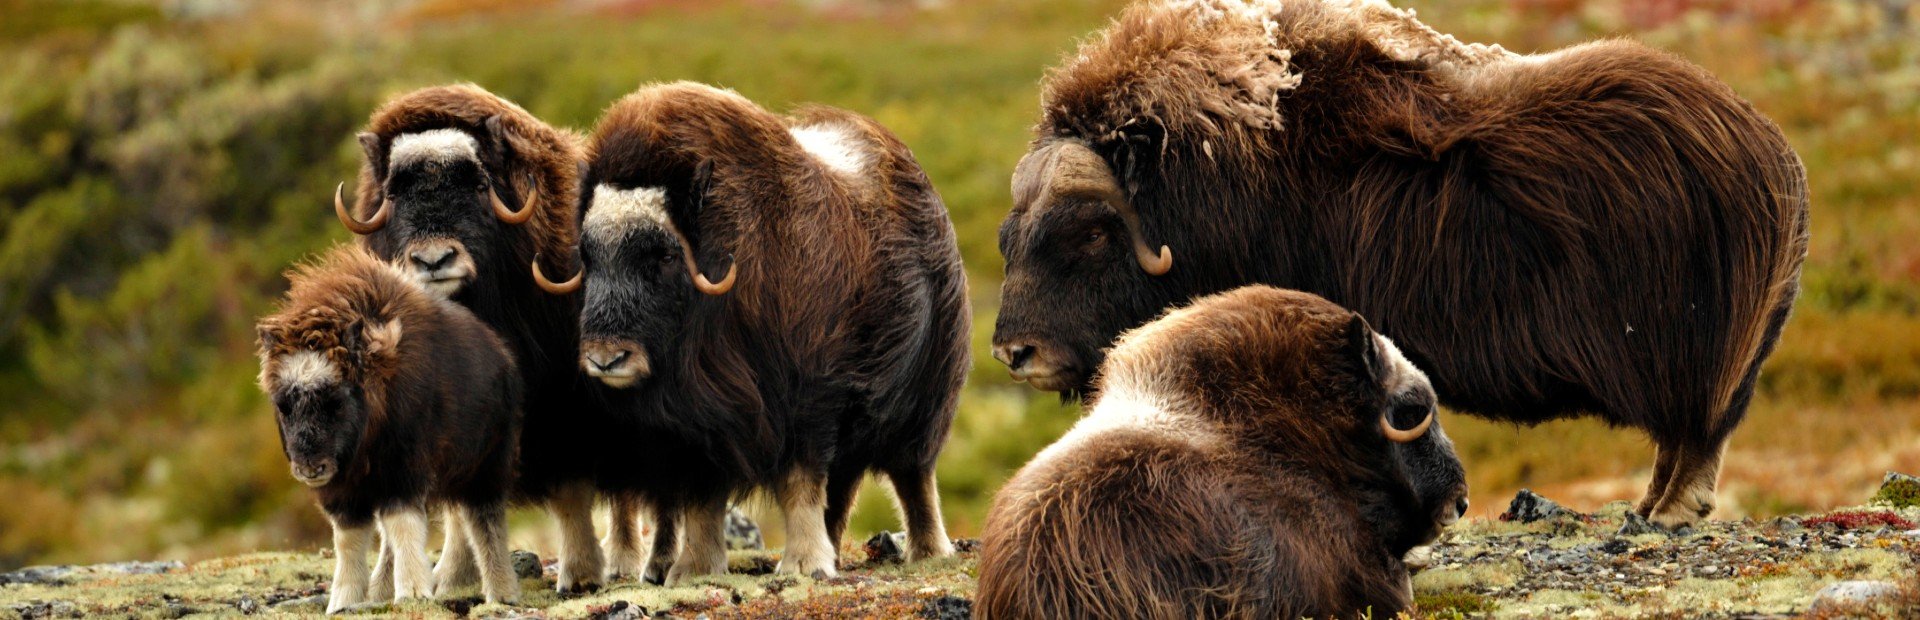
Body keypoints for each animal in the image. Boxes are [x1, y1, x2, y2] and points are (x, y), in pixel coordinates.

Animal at [256, 245, 522, 613]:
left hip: (485, 465)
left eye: (335, 400)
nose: (310, 468)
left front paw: (413, 592)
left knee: (485, 520)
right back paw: (380, 590)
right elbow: (349, 540)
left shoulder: (402, 471)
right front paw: (342, 602)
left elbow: (403, 525)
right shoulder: (345, 489)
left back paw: (502, 593)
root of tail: (501, 353)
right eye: (283, 404)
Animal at [336, 84, 616, 591]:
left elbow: (569, 489)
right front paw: (450, 578)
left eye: (480, 185)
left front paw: (581, 573)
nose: (433, 260)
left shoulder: (564, 401)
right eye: (394, 193)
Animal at [532, 82, 970, 584]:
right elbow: (702, 499)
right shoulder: (697, 428)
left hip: (926, 399)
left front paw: (802, 564)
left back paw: (927, 551)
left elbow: (800, 482)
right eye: (587, 256)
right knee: (843, 487)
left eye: (664, 255)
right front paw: (695, 569)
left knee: (913, 474)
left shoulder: (807, 400)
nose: (606, 358)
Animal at [991, 0, 1810, 529]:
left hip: (1689, 353)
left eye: (1091, 233)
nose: (1014, 352)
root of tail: (1771, 153)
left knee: (1695, 436)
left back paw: (1665, 515)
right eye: (1009, 237)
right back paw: (1647, 507)